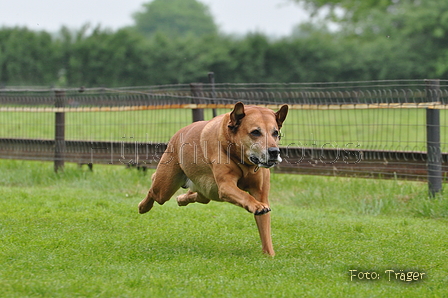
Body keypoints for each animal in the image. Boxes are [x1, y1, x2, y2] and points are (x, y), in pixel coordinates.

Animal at [138, 102, 288, 256]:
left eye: (275, 133)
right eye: (255, 132)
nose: (274, 152)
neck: (243, 161)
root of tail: (177, 135)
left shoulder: (260, 193)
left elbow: (265, 229)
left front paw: (270, 255)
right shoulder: (225, 186)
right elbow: (244, 195)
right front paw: (257, 206)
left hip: (206, 190)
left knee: (198, 196)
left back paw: (181, 199)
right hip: (165, 187)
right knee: (154, 190)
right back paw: (143, 206)